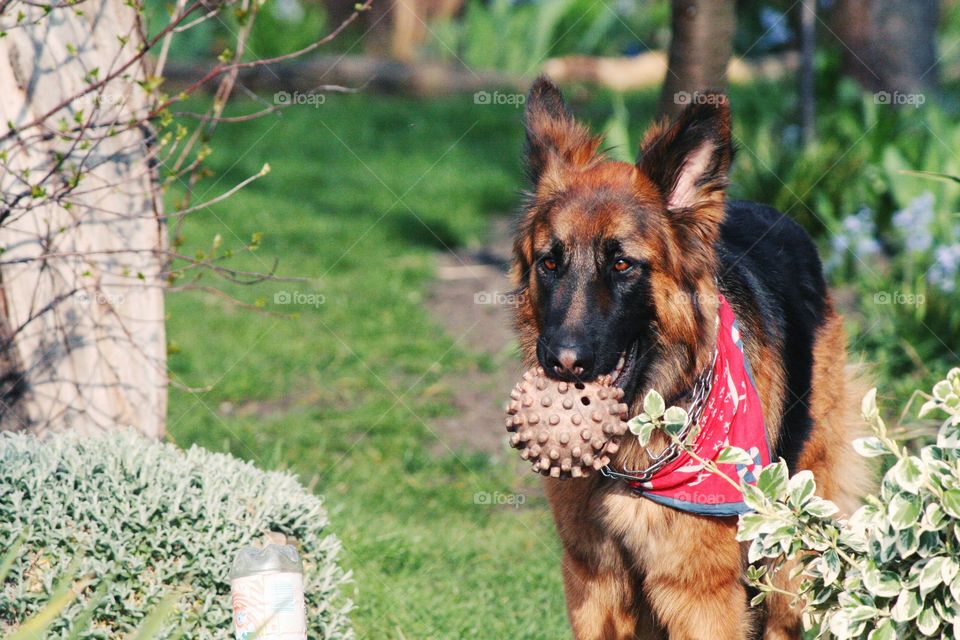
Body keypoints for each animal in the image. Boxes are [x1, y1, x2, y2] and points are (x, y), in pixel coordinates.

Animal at [510, 76, 872, 640]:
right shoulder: (593, 583)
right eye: (550, 263)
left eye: (622, 264)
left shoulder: (701, 595)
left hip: (788, 558)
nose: (562, 363)